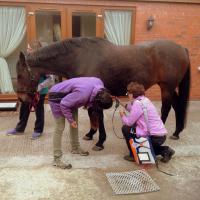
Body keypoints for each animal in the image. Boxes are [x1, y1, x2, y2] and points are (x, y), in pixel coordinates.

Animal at [16, 37, 191, 150]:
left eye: (20, 75)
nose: (21, 98)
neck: (79, 58)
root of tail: (182, 48)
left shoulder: (98, 92)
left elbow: (98, 116)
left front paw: (100, 142)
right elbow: (92, 115)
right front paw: (90, 134)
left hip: (167, 87)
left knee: (166, 108)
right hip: (169, 87)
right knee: (177, 106)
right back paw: (176, 132)